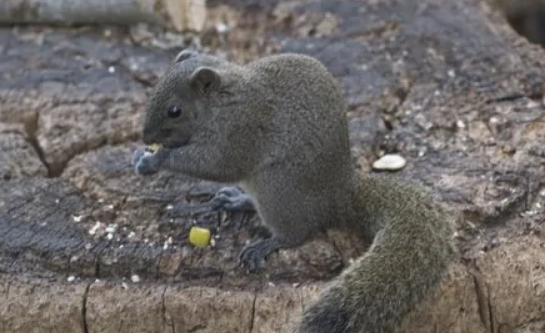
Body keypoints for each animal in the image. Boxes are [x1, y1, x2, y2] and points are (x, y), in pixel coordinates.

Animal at [132, 49, 454, 332]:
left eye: (175, 111)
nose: (146, 136)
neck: (224, 101)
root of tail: (340, 194)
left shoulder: (238, 132)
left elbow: (216, 165)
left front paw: (155, 160)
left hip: (277, 191)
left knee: (297, 234)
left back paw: (265, 244)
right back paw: (236, 200)